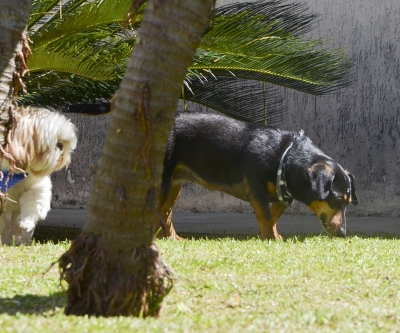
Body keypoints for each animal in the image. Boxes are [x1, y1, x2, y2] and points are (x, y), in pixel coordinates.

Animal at [0, 110, 76, 245]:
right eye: (51, 144)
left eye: (63, 141)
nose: (60, 145)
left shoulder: (38, 186)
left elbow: (33, 200)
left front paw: (26, 221)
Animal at [155, 111, 358, 239]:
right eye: (337, 199)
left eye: (348, 203)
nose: (343, 233)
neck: (284, 155)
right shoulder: (256, 190)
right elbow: (267, 217)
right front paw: (269, 239)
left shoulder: (281, 196)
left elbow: (273, 219)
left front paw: (273, 237)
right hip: (163, 183)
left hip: (174, 185)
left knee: (165, 213)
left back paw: (172, 238)